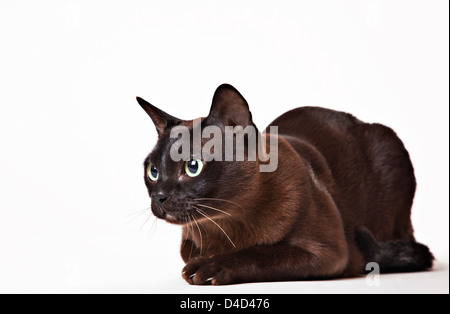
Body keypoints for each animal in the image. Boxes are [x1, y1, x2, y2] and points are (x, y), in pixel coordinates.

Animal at [136, 83, 432, 284]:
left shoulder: (328, 253)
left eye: (192, 166)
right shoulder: (189, 245)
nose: (159, 197)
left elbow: (260, 254)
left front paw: (209, 268)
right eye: (153, 171)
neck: (225, 223)